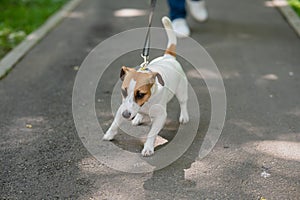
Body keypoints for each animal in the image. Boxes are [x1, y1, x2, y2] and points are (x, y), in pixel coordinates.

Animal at [102, 16, 189, 156]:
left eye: (141, 94)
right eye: (124, 91)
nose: (126, 115)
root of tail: (168, 57)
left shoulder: (161, 117)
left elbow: (152, 133)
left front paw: (148, 147)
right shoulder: (122, 107)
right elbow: (115, 123)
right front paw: (109, 134)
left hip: (181, 90)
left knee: (183, 103)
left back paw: (184, 116)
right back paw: (138, 117)